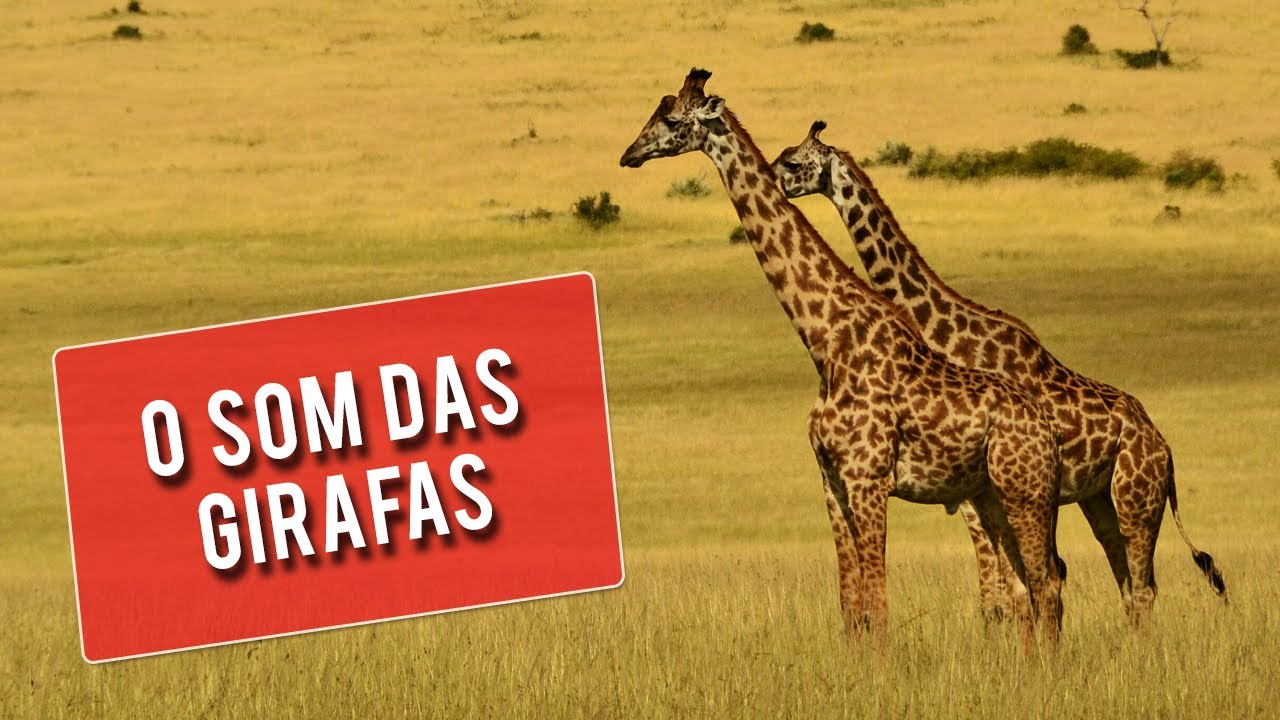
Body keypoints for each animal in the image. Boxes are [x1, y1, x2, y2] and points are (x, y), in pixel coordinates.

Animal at [619, 69, 1065, 650]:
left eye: (671, 119)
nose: (628, 154)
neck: (827, 342)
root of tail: (1047, 428)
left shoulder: (867, 476)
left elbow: (878, 604)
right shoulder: (830, 481)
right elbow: (851, 609)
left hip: (1025, 493)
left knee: (1045, 584)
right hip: (993, 497)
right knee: (1022, 588)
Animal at [770, 121, 1227, 626]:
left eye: (793, 161)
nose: (775, 181)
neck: (949, 335)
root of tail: (1164, 447)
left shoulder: (981, 490)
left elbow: (1009, 593)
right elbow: (1007, 593)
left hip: (1134, 499)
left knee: (1138, 583)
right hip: (1097, 499)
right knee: (1127, 580)